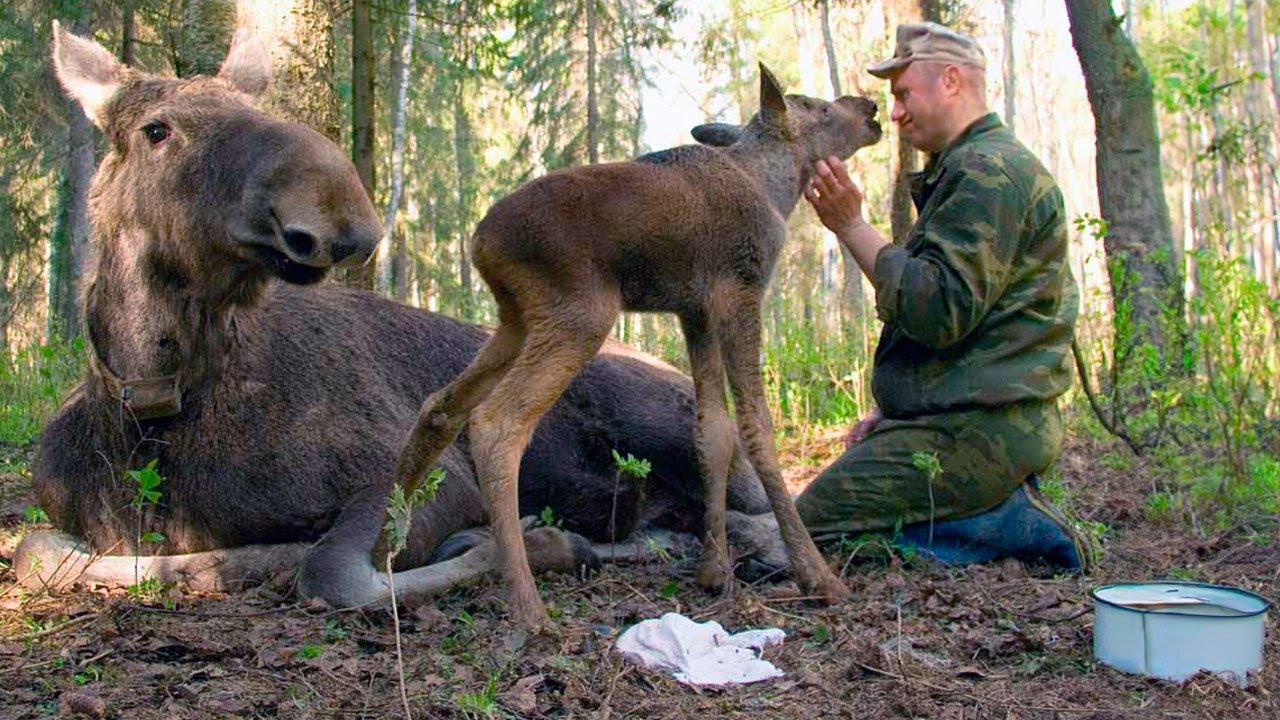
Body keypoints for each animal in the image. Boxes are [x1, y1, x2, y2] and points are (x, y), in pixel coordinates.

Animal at [12, 23, 778, 604]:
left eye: (266, 114)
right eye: (157, 130)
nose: (339, 215)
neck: (155, 412)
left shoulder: (421, 476)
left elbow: (328, 568)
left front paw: (531, 541)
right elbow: (42, 552)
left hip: (660, 418)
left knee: (759, 507)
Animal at [378, 63, 880, 622]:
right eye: (820, 108)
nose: (869, 106)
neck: (778, 188)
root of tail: (479, 242)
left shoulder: (694, 310)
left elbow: (712, 434)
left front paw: (714, 570)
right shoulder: (740, 291)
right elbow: (757, 430)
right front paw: (816, 574)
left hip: (517, 321)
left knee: (440, 406)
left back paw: (384, 554)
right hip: (579, 314)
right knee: (496, 422)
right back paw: (530, 610)